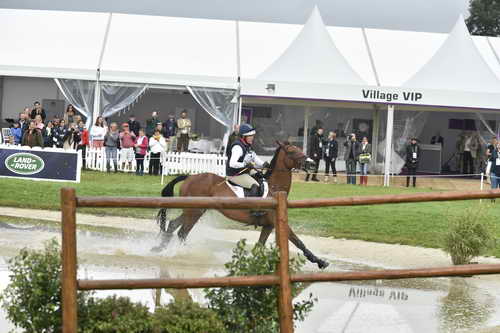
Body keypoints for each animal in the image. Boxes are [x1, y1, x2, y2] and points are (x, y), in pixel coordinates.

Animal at [150, 141, 330, 268]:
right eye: (292, 152)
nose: (312, 164)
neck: (275, 189)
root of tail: (189, 177)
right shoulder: (277, 222)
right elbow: (298, 241)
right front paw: (320, 262)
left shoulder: (269, 225)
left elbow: (259, 246)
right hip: (194, 212)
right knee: (182, 233)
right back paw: (181, 253)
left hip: (192, 211)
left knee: (173, 225)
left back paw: (160, 248)